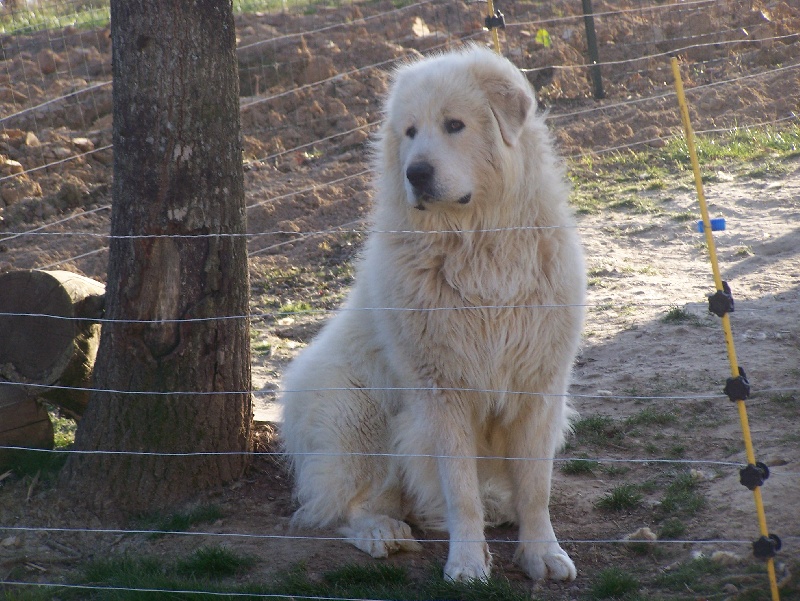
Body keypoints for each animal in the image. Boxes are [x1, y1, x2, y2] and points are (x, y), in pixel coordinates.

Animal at [278, 45, 584, 580]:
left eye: (454, 125)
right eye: (410, 132)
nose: (416, 174)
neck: (478, 247)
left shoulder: (540, 387)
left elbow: (535, 489)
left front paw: (542, 553)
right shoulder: (443, 393)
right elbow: (460, 491)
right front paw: (467, 565)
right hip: (358, 417)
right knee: (340, 507)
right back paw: (383, 532)